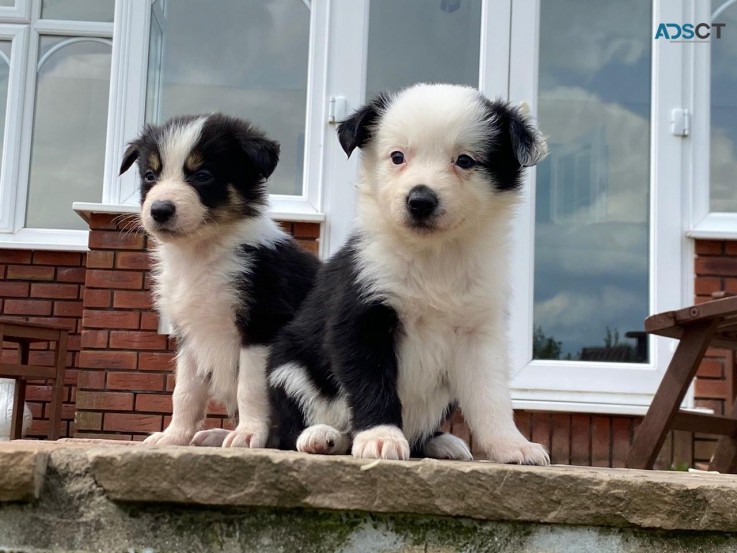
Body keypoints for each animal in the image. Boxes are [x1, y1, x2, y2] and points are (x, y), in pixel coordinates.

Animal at [118, 114, 320, 446]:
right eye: (149, 175)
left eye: (203, 175)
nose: (159, 210)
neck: (201, 252)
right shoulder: (189, 333)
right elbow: (185, 391)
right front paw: (174, 436)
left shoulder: (262, 324)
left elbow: (250, 387)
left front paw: (248, 434)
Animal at [268, 83, 548, 462]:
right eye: (397, 157)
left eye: (464, 160)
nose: (420, 200)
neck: (433, 256)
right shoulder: (361, 315)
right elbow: (372, 381)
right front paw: (380, 437)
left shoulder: (478, 331)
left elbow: (491, 397)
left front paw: (512, 444)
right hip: (288, 368)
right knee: (293, 427)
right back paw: (323, 436)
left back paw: (440, 442)